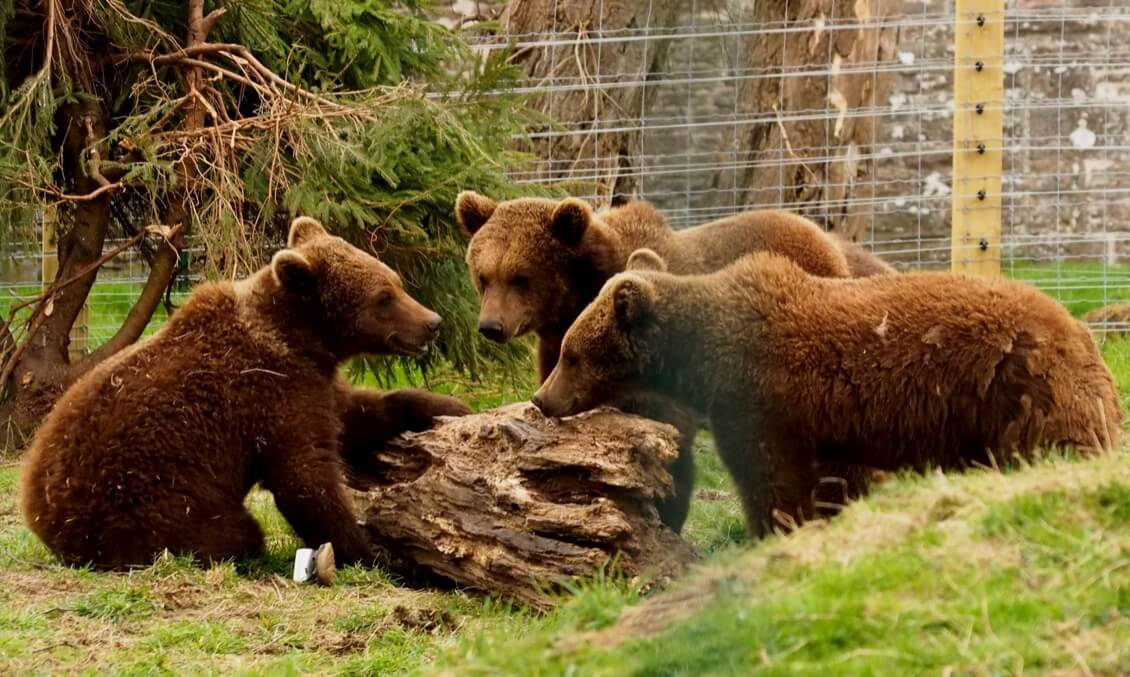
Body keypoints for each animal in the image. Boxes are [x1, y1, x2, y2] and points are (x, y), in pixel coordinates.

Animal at [22, 218, 472, 571]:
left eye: (396, 282)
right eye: (383, 298)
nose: (433, 322)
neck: (301, 338)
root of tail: (40, 516)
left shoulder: (313, 381)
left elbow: (356, 416)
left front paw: (448, 406)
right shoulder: (268, 395)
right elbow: (304, 477)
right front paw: (377, 554)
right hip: (150, 502)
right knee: (234, 532)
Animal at [456, 192, 890, 535]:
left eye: (520, 276)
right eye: (483, 275)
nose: (491, 326)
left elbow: (668, 442)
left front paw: (662, 517)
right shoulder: (555, 355)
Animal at [533, 249, 1125, 540]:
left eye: (571, 353)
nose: (542, 399)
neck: (706, 357)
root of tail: (1081, 334)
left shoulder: (761, 403)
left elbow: (773, 483)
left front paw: (774, 533)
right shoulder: (831, 427)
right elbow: (837, 481)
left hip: (1026, 397)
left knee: (1061, 449)